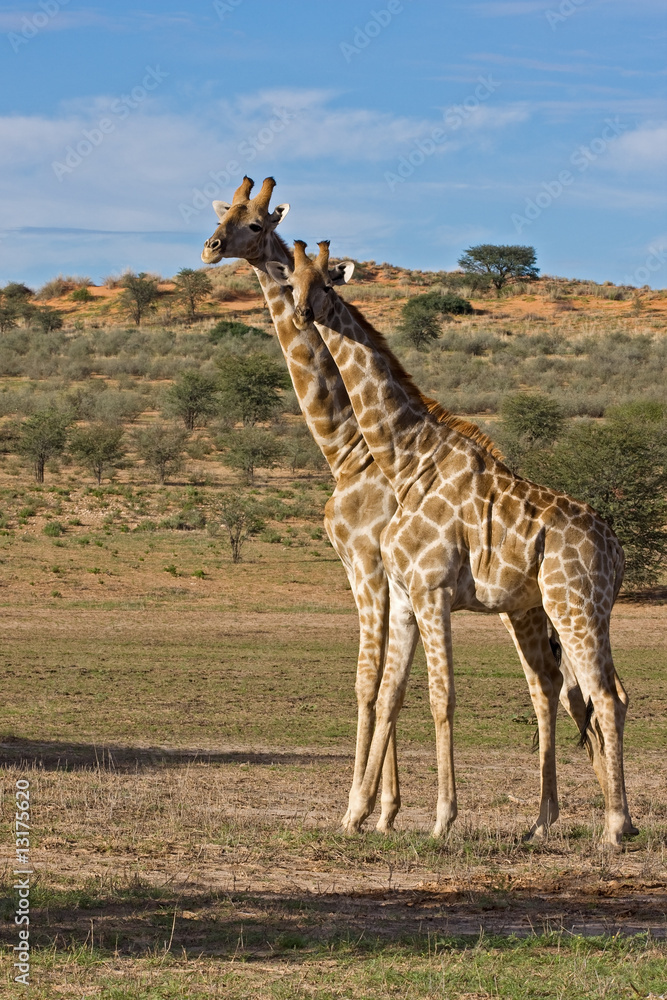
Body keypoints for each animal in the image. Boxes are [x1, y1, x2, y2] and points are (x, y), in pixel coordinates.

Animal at [265, 239, 637, 847]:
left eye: (326, 283)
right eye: (290, 279)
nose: (300, 312)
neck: (406, 461)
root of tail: (617, 548)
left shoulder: (433, 589)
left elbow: (441, 697)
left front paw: (441, 819)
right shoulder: (404, 594)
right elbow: (390, 693)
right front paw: (358, 813)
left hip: (576, 606)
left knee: (603, 696)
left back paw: (613, 827)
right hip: (564, 611)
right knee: (582, 693)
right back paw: (568, 822)